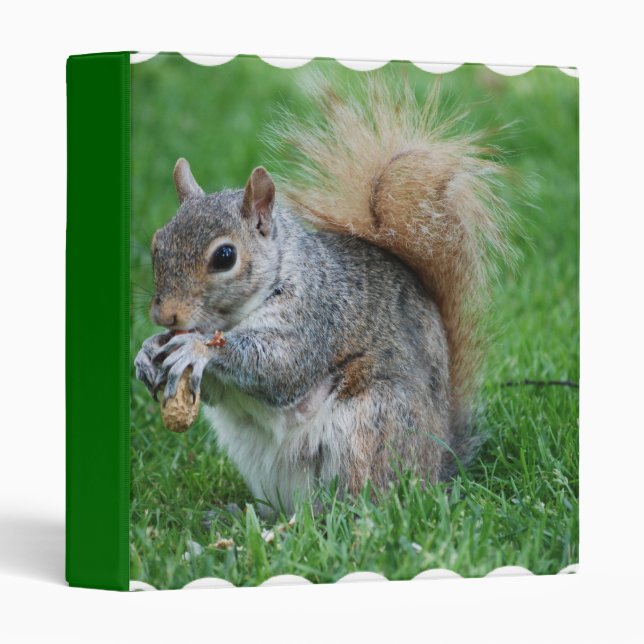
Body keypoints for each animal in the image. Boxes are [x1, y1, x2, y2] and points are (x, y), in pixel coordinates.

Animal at [134, 75, 508, 515]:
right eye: (157, 242)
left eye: (225, 256)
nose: (166, 316)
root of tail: (437, 468)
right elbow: (212, 391)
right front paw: (146, 351)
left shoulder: (316, 315)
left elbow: (280, 366)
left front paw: (195, 347)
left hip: (369, 426)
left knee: (360, 504)